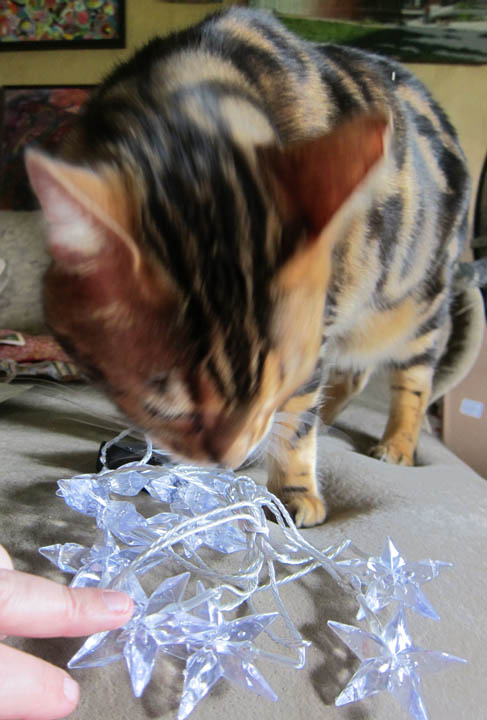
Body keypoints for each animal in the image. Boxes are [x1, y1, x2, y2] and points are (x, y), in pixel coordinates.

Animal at [25, 7, 484, 527]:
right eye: (164, 409)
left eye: (278, 383)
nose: (228, 458)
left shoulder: (318, 337)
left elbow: (299, 420)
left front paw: (294, 492)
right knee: (356, 372)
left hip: (414, 302)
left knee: (412, 376)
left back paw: (396, 444)